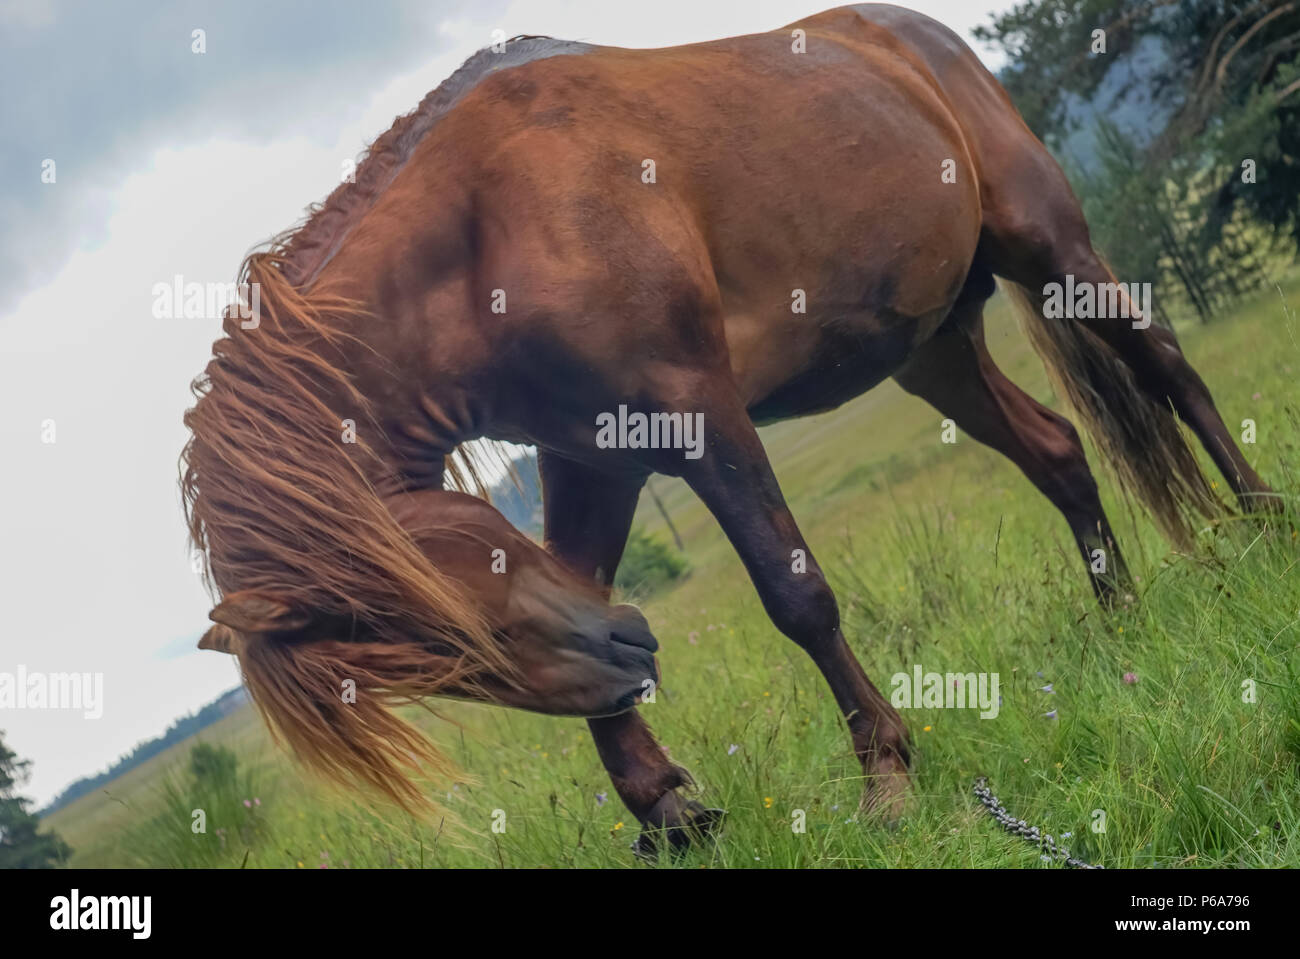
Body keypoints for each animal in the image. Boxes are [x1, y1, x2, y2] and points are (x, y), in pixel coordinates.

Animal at [182, 3, 1279, 852]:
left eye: (434, 624)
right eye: (426, 664)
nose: (630, 647)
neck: (489, 222)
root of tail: (914, 38)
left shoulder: (700, 416)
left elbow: (797, 596)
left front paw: (887, 779)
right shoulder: (594, 458)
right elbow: (586, 574)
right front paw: (667, 807)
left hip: (1050, 247)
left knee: (1169, 369)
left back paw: (1264, 521)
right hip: (932, 351)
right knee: (1056, 453)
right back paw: (1120, 624)